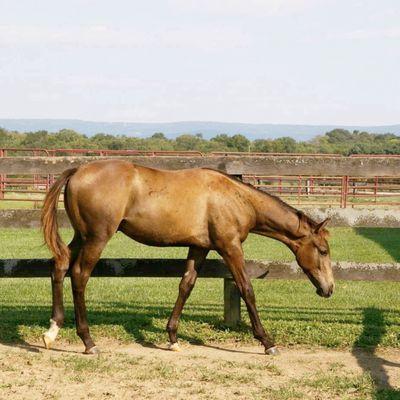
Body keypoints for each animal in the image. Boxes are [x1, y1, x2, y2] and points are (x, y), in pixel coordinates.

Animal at [41, 158, 334, 354]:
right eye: (323, 250)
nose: (329, 289)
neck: (235, 198)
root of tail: (78, 171)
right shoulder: (230, 247)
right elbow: (246, 289)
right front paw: (267, 342)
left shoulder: (200, 247)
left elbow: (186, 285)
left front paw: (172, 337)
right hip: (97, 238)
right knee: (79, 276)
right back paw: (88, 341)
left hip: (82, 237)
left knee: (59, 266)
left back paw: (53, 330)